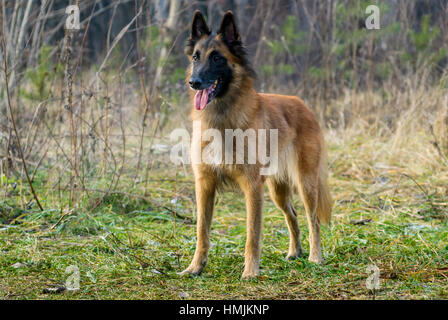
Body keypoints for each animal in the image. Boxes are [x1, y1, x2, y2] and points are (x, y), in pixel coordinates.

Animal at [180, 11, 330, 278]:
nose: (194, 82)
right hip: (278, 190)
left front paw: (250, 272)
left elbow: (252, 234)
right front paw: (195, 267)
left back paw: (315, 257)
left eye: (217, 57)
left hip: (306, 183)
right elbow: (201, 232)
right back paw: (295, 252)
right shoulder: (204, 185)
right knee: (292, 215)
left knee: (313, 220)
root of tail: (303, 105)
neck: (223, 118)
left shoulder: (252, 188)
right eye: (196, 57)